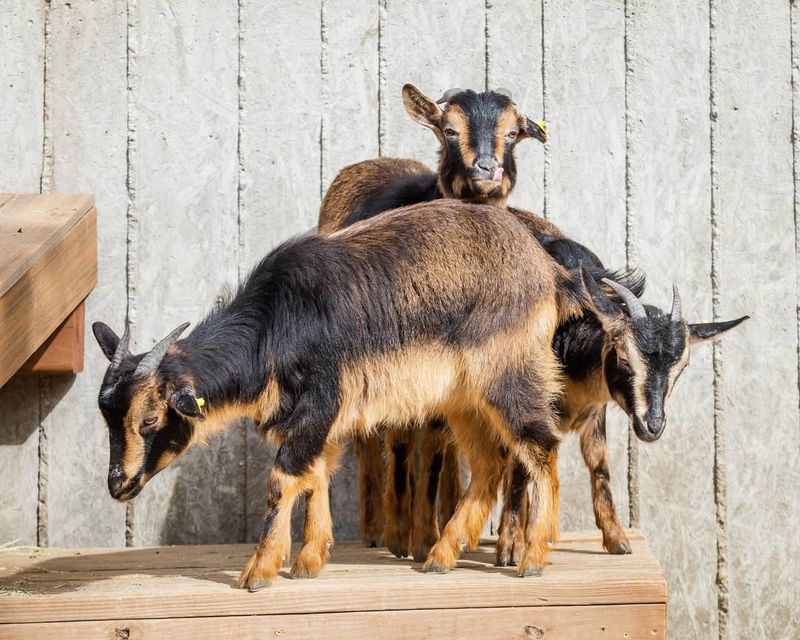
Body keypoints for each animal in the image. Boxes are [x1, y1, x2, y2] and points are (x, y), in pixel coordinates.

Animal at [92, 201, 580, 592]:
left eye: (149, 420)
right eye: (108, 420)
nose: (118, 485)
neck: (275, 324)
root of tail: (548, 272)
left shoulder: (319, 403)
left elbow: (284, 478)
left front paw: (259, 571)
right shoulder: (316, 419)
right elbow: (317, 474)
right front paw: (309, 560)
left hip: (507, 376)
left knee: (542, 445)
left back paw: (533, 558)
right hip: (463, 400)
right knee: (488, 462)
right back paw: (441, 556)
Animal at [318, 81, 552, 560]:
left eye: (513, 133)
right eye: (449, 130)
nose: (487, 170)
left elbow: (438, 447)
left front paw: (437, 534)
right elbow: (401, 442)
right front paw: (406, 537)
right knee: (374, 438)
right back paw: (378, 528)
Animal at [494, 256, 752, 564]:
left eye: (682, 367)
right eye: (624, 358)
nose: (653, 425)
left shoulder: (596, 409)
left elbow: (598, 462)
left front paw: (617, 538)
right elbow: (522, 463)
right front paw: (511, 547)